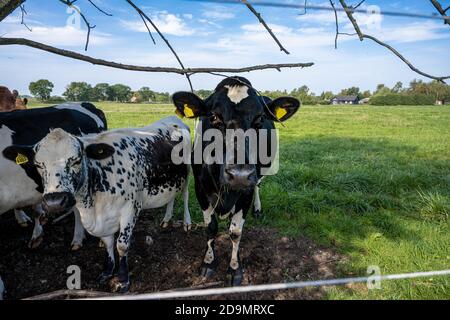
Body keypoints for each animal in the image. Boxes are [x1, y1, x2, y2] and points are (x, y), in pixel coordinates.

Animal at [5, 117, 192, 292]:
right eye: (38, 165)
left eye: (76, 160)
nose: (55, 201)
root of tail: (173, 119)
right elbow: (108, 243)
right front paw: (108, 271)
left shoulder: (130, 210)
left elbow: (121, 246)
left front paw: (123, 279)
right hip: (172, 179)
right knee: (172, 197)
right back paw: (166, 219)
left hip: (187, 172)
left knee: (185, 194)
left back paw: (187, 223)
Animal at [174, 77, 300, 284]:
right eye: (214, 117)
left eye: (259, 119)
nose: (239, 175)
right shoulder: (200, 187)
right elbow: (211, 227)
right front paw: (208, 262)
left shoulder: (245, 191)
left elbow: (235, 232)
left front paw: (234, 268)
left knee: (258, 186)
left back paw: (257, 209)